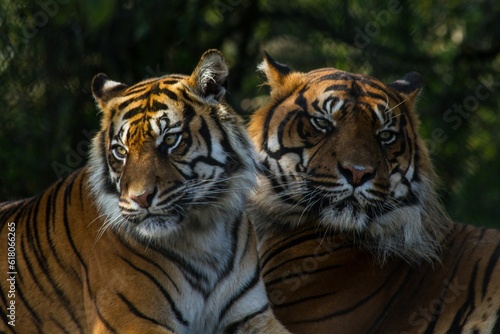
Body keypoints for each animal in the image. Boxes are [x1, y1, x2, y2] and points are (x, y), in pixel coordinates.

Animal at [0, 49, 292, 334]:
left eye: (171, 140)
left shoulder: (254, 316)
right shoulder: (129, 321)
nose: (139, 198)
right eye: (121, 151)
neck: (204, 234)